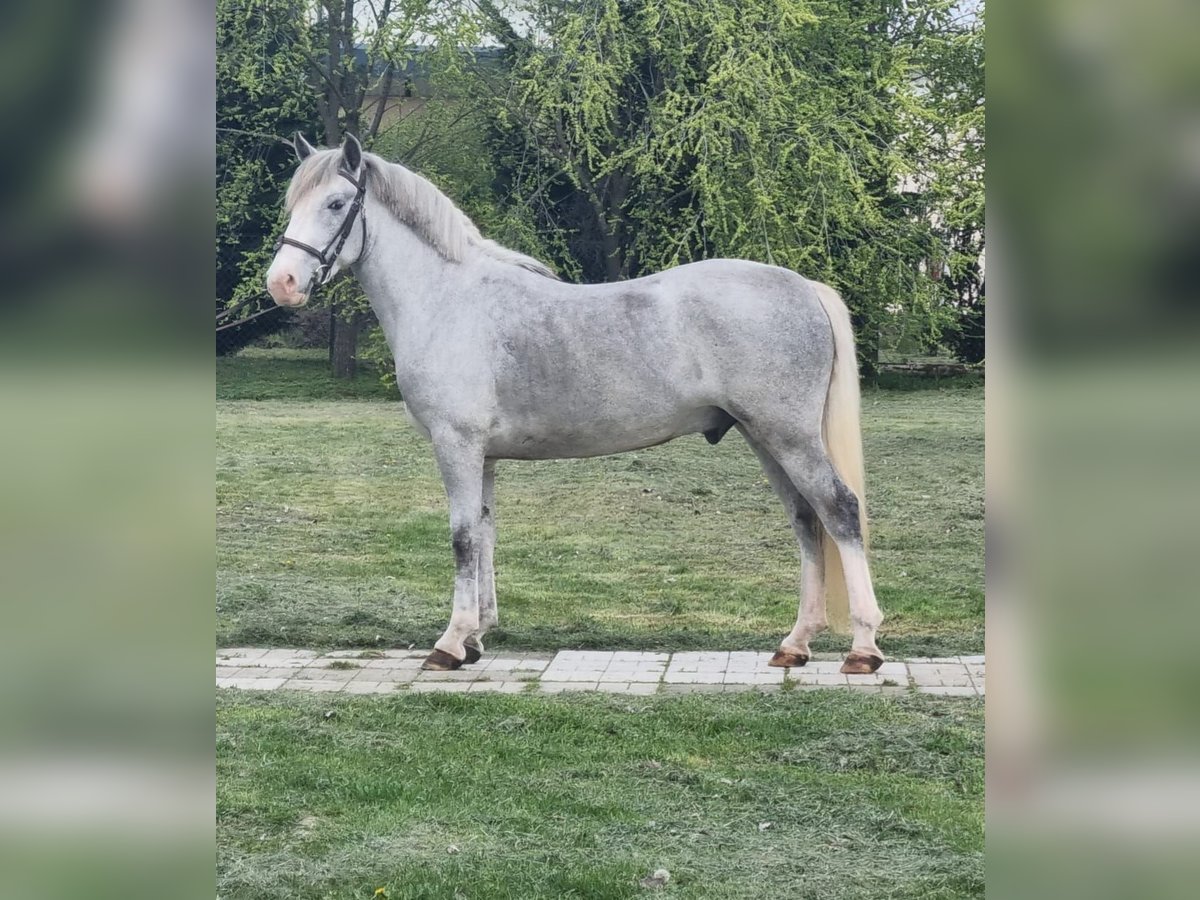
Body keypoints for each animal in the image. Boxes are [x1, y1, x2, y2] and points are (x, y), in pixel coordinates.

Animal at [266, 133, 885, 674]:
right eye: (293, 203)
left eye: (336, 203)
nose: (282, 283)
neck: (449, 299)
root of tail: (803, 286)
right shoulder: (483, 457)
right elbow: (484, 535)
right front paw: (476, 639)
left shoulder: (456, 446)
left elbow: (463, 538)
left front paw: (450, 642)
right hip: (764, 438)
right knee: (806, 520)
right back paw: (796, 644)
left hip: (789, 436)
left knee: (839, 511)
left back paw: (862, 648)